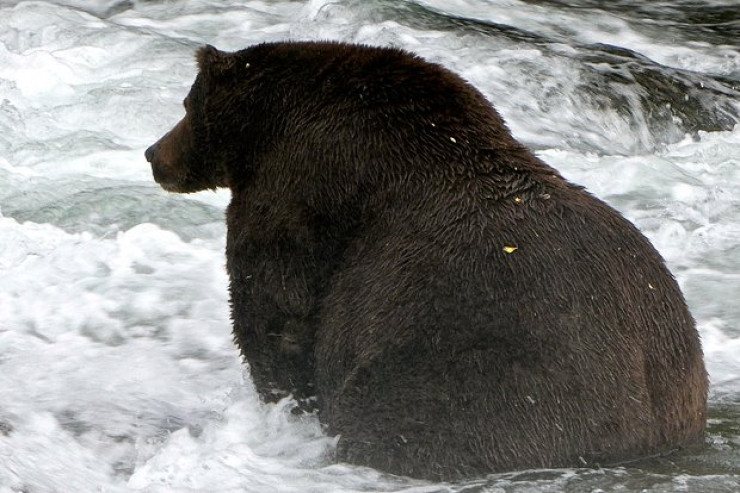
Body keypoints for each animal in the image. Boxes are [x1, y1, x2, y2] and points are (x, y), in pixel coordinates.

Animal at [143, 42, 704, 480]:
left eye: (186, 103)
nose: (152, 154)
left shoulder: (296, 193)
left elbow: (275, 308)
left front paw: (284, 404)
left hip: (476, 379)